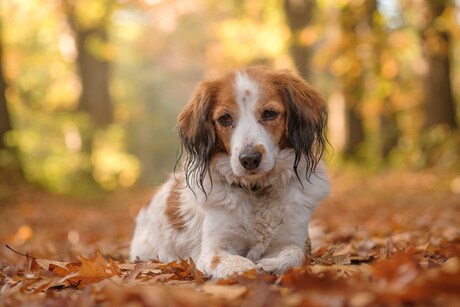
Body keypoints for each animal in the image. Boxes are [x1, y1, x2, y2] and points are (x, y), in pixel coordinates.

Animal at [129, 67, 330, 280]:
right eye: (224, 118)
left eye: (269, 113)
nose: (249, 159)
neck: (256, 190)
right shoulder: (212, 251)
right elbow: (238, 263)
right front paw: (249, 269)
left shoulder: (294, 238)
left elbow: (296, 253)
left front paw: (270, 264)